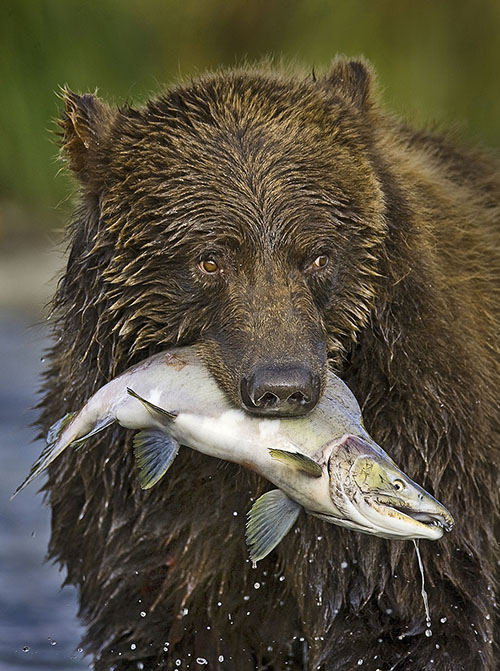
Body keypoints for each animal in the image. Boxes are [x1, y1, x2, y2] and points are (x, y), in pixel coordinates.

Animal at [40, 58, 499, 670]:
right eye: (210, 259)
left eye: (319, 255)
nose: (283, 384)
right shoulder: (136, 507)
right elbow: (162, 619)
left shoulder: (426, 421)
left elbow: (408, 620)